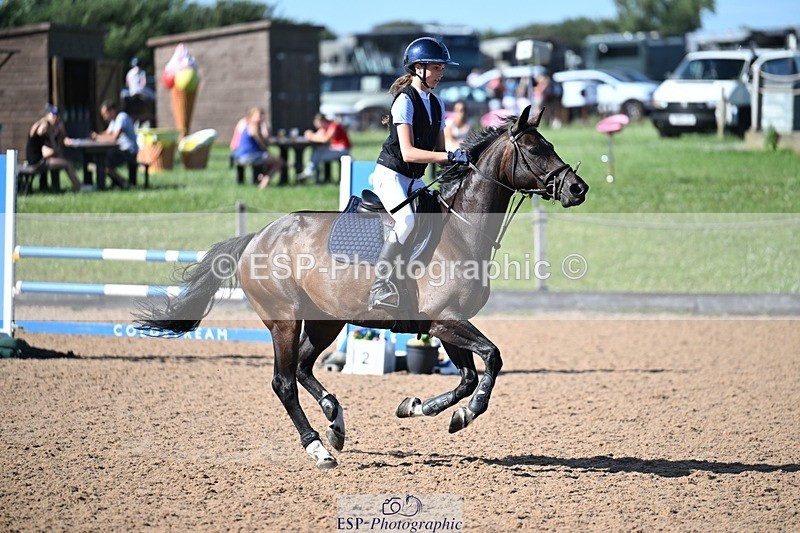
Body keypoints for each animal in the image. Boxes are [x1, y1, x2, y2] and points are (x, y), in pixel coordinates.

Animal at [135, 105, 588, 469]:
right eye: (535, 149)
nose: (578, 189)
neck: (461, 231)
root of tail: (257, 238)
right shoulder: (445, 321)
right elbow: (490, 360)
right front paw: (467, 413)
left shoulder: (446, 324)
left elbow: (466, 378)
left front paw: (418, 408)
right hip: (284, 320)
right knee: (284, 382)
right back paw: (318, 449)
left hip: (326, 321)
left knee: (303, 367)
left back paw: (335, 421)